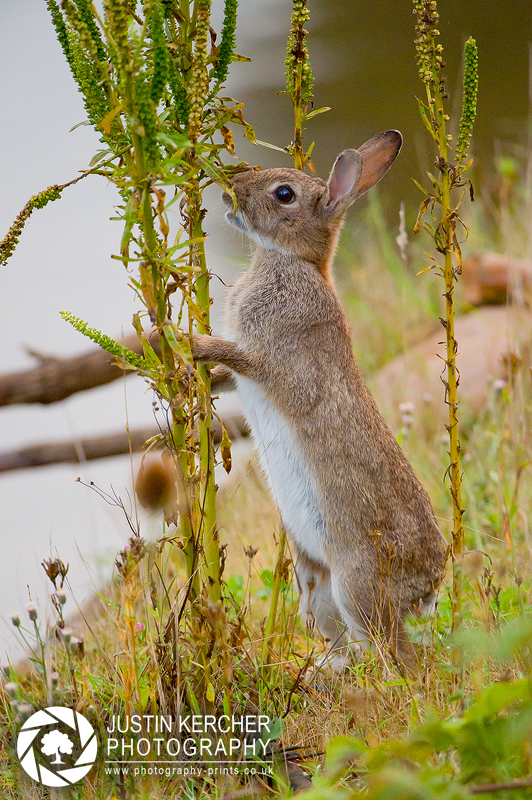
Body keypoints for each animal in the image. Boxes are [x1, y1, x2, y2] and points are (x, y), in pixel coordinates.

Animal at [193, 133, 446, 668]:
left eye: (284, 194)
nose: (229, 190)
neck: (291, 262)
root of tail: (429, 584)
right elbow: (229, 375)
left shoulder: (274, 360)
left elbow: (242, 358)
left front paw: (183, 342)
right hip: (315, 585)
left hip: (356, 582)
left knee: (393, 653)